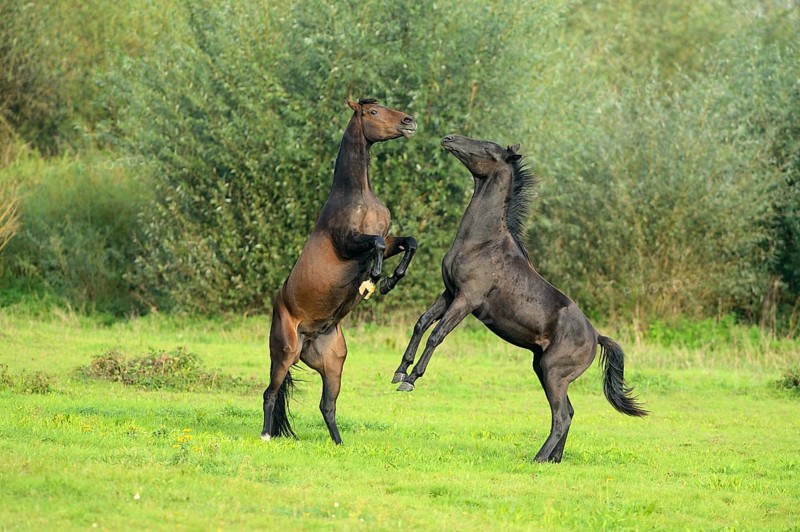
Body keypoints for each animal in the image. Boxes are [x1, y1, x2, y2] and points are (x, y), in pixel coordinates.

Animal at [261, 98, 418, 444]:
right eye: (373, 112)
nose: (409, 121)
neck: (358, 195)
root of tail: (307, 338)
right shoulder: (348, 243)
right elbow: (374, 245)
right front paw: (373, 280)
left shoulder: (388, 239)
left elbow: (408, 242)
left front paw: (389, 281)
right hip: (284, 353)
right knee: (270, 393)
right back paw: (265, 435)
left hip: (334, 362)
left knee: (326, 405)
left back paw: (339, 444)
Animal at [392, 134, 647, 462]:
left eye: (487, 148)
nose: (449, 139)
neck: (481, 242)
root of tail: (597, 338)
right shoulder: (449, 292)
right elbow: (421, 323)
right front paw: (399, 371)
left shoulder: (468, 299)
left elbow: (437, 335)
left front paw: (411, 380)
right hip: (544, 370)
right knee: (568, 413)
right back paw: (554, 460)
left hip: (553, 373)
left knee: (561, 416)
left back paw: (539, 459)